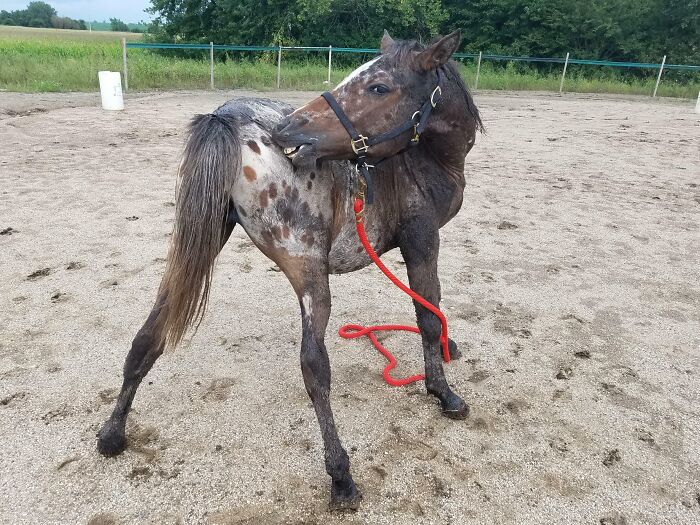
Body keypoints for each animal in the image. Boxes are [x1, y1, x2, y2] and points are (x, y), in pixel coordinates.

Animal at [97, 30, 482, 510]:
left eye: (379, 87)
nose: (290, 131)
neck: (421, 159)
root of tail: (228, 118)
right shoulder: (422, 241)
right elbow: (428, 314)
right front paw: (444, 393)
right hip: (308, 273)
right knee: (314, 367)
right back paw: (341, 476)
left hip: (200, 246)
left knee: (150, 333)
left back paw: (112, 433)